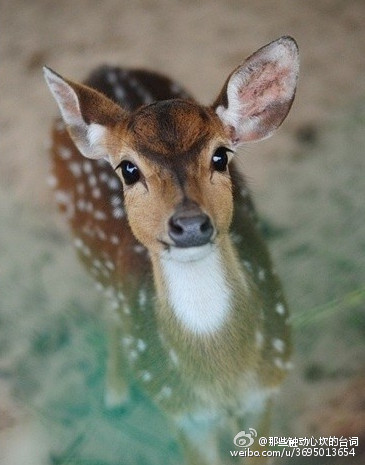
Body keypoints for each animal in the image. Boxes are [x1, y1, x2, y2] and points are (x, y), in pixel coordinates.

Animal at [43, 37, 298, 464]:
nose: (190, 224)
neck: (222, 377)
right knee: (108, 308)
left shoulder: (268, 387)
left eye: (220, 156)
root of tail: (104, 67)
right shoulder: (179, 410)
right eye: (128, 169)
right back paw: (115, 393)